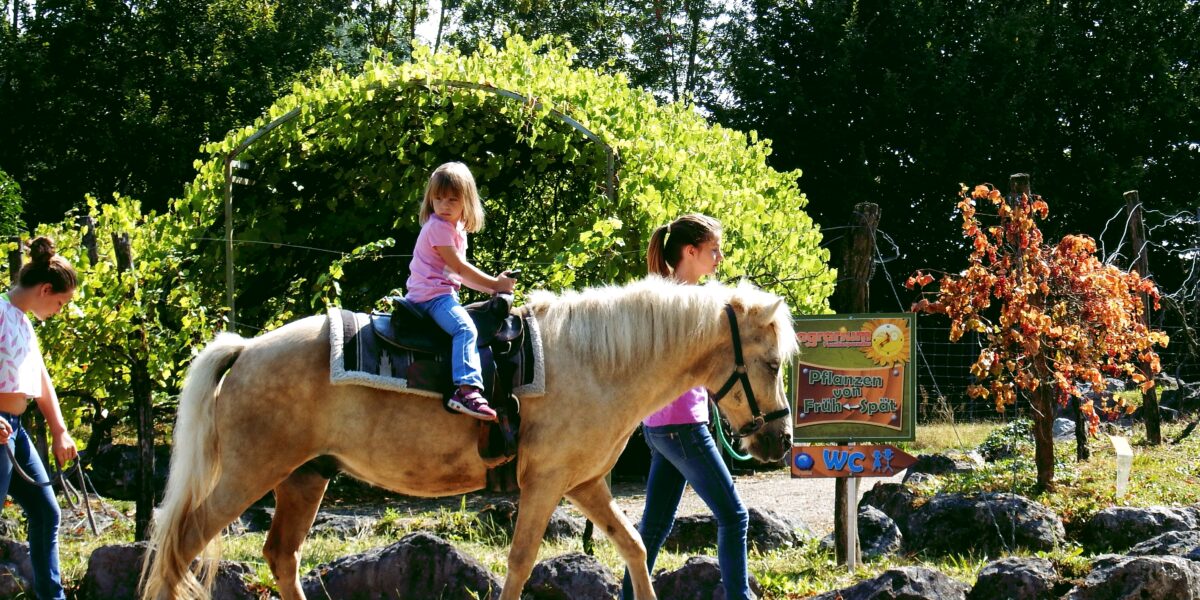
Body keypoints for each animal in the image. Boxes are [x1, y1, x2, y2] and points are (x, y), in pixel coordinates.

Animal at [140, 276, 799, 600]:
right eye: (769, 363)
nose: (781, 441)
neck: (594, 361)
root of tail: (247, 348)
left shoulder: (586, 484)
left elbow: (635, 547)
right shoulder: (546, 485)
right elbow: (521, 561)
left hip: (305, 477)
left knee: (281, 556)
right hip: (248, 475)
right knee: (180, 544)